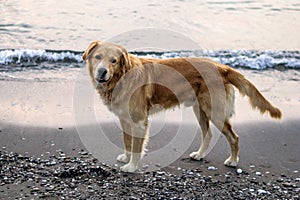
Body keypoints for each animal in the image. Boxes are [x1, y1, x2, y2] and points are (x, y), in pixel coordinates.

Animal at [81, 40, 282, 172]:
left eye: (113, 61)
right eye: (98, 57)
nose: (102, 71)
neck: (121, 77)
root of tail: (221, 67)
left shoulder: (139, 120)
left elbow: (137, 145)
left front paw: (131, 166)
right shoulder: (124, 118)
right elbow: (127, 141)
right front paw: (126, 158)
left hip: (214, 111)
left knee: (234, 137)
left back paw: (233, 161)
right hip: (200, 110)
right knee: (208, 134)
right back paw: (199, 155)